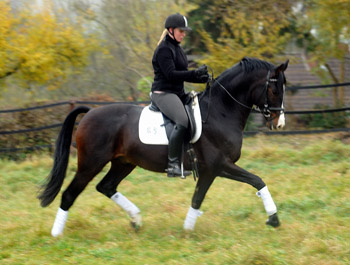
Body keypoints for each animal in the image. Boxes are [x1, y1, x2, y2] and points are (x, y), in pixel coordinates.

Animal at [39, 56, 290, 236]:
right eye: (274, 90)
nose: (279, 123)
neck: (220, 111)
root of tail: (90, 112)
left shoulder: (212, 170)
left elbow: (199, 198)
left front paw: (187, 230)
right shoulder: (217, 166)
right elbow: (256, 180)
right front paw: (274, 218)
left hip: (123, 163)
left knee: (106, 187)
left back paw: (136, 220)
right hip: (90, 164)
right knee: (69, 195)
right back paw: (56, 236)